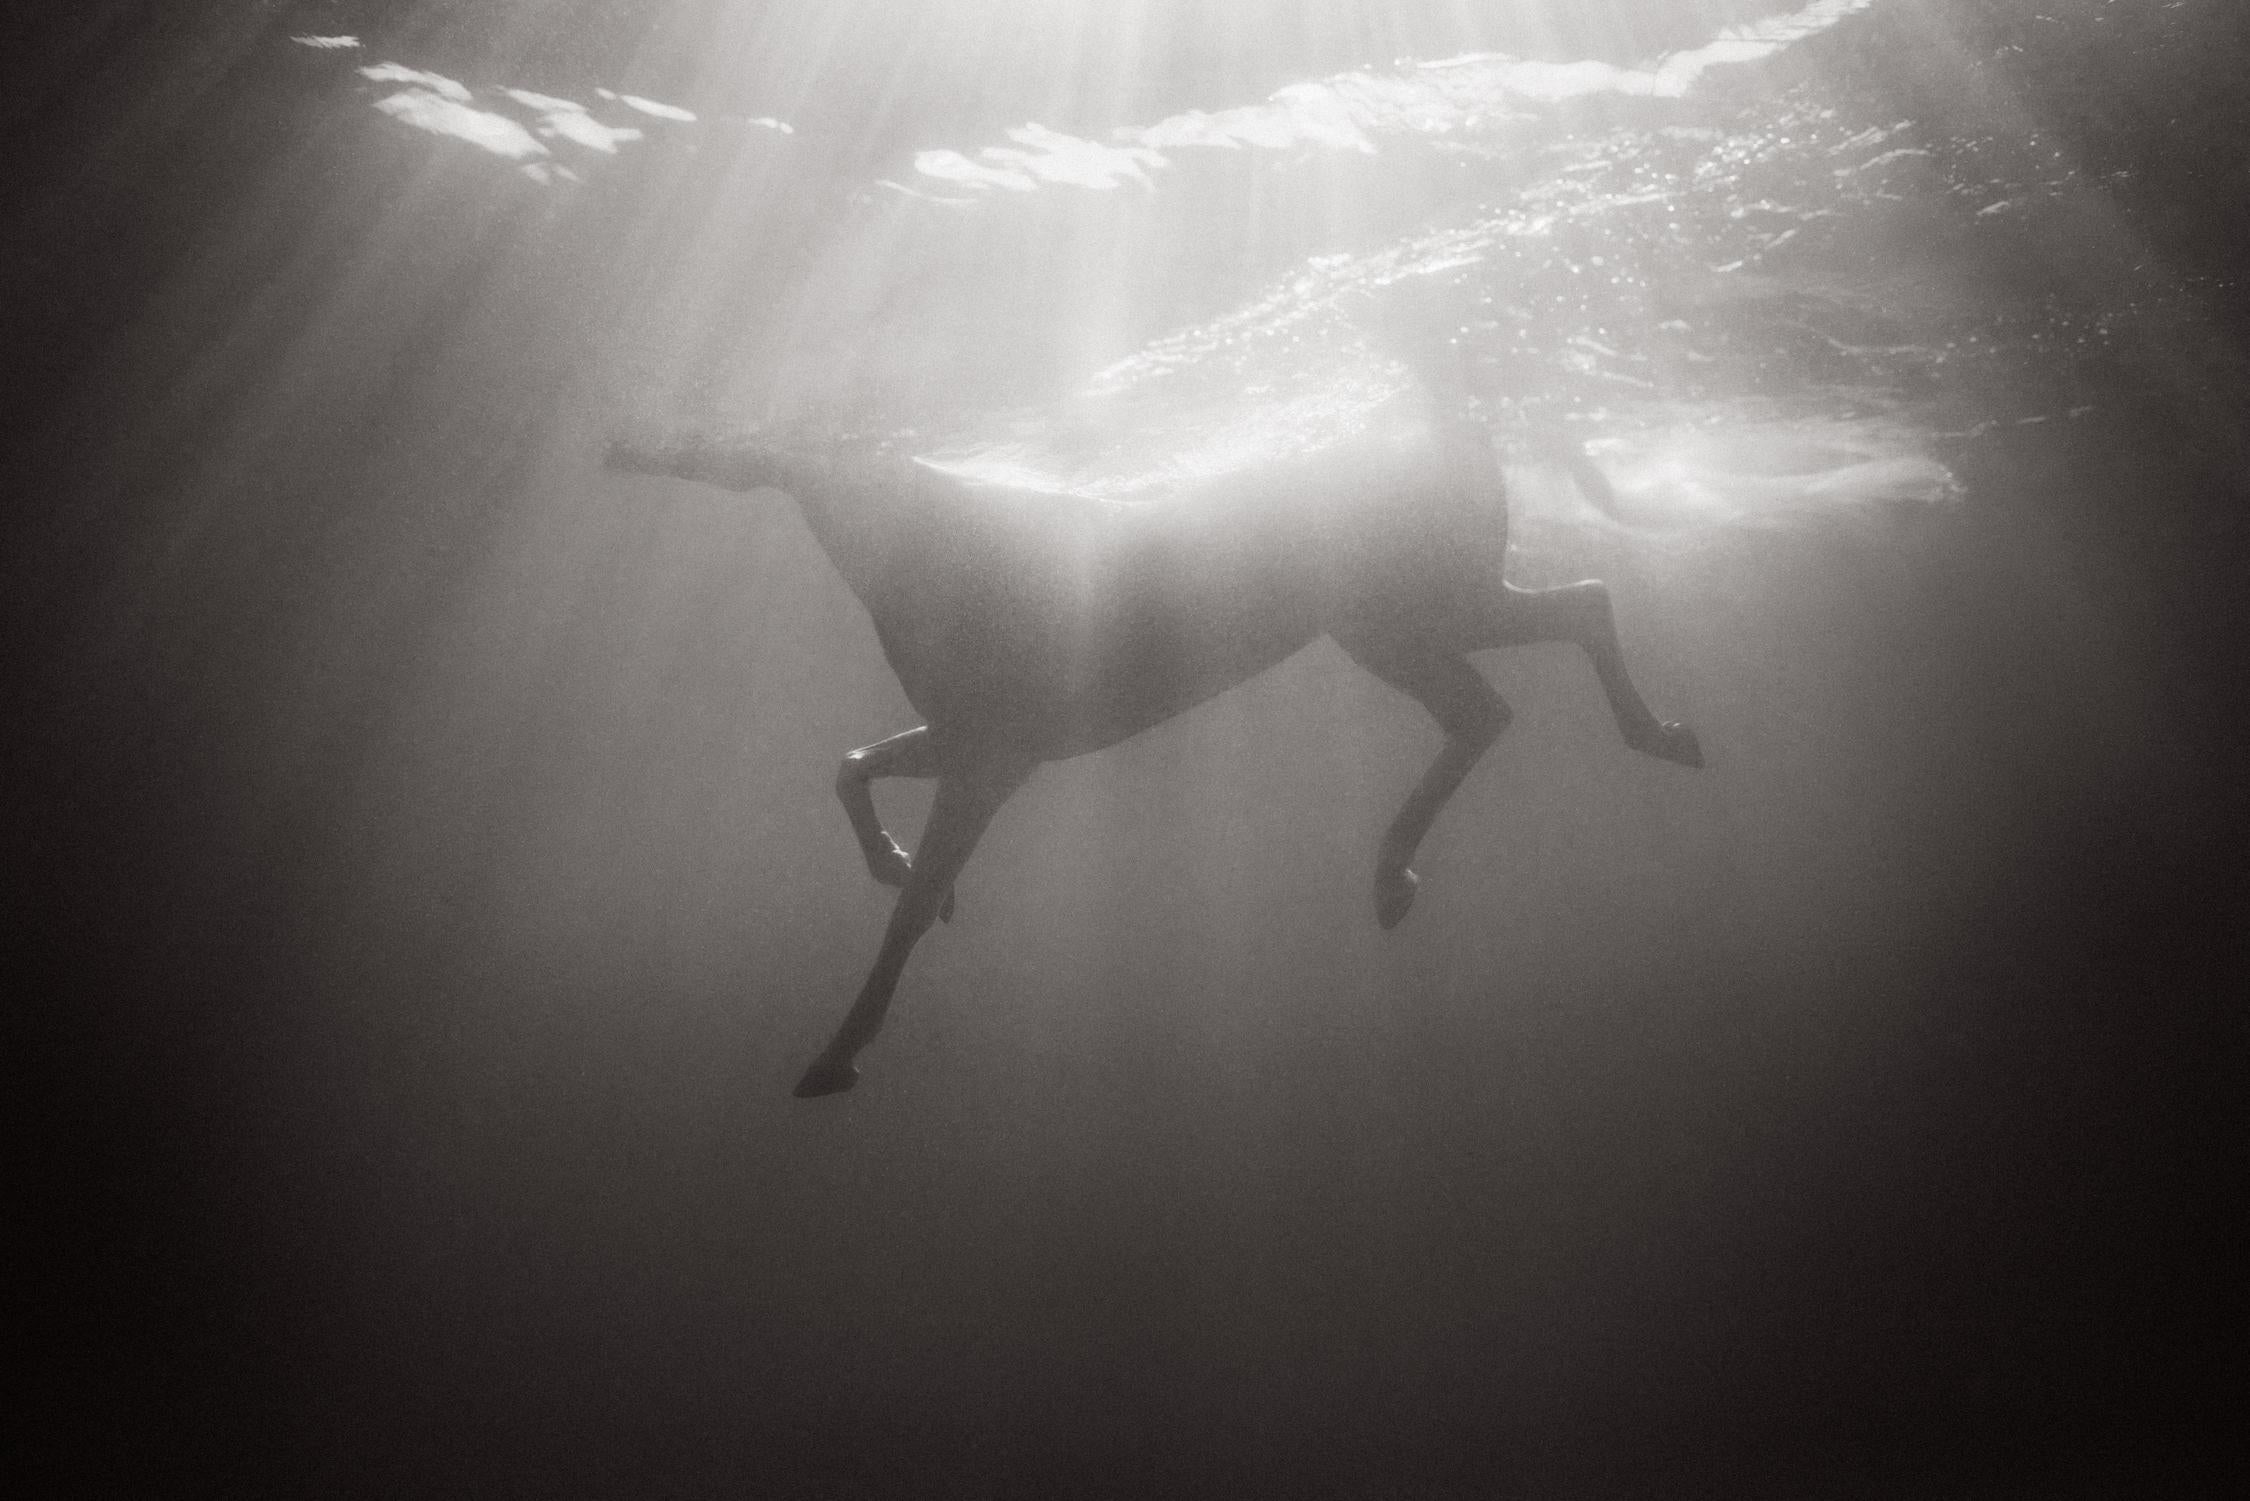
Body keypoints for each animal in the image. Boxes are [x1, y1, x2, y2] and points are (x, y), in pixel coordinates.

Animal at [607, 371, 1692, 1098]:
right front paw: (899, 864)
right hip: (1407, 619)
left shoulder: (993, 757)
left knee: (1524, 669)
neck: (924, 545)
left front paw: (837, 1053)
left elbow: (903, 911)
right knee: (1548, 644)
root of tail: (1464, 436)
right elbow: (850, 769)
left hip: (1403, 615)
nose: (619, 442)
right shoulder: (975, 744)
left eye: (737, 415)